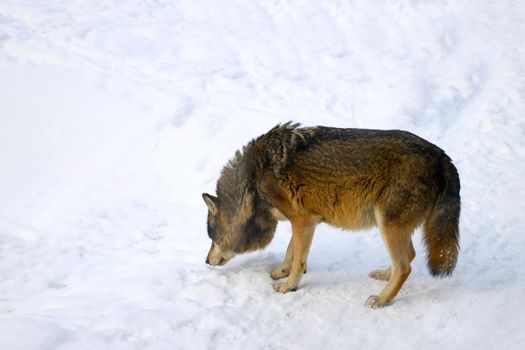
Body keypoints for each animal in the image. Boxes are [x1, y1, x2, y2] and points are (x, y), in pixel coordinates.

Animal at [201, 121, 458, 308]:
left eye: (212, 237)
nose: (206, 261)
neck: (253, 181)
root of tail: (442, 155)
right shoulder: (303, 221)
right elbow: (291, 253)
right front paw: (280, 273)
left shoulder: (303, 221)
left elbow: (297, 260)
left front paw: (288, 287)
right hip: (391, 227)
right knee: (409, 256)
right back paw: (383, 275)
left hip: (387, 226)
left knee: (404, 266)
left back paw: (381, 299)